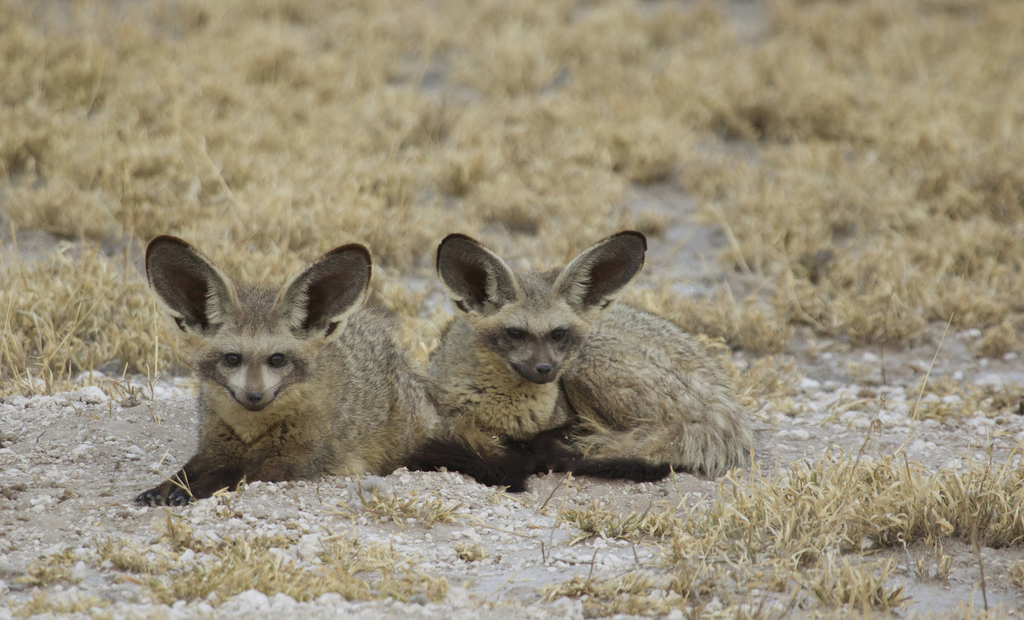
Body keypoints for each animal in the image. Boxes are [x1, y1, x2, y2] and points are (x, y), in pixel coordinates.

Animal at [135, 235, 438, 506]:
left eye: (277, 359)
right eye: (232, 359)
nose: (254, 396)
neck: (251, 429)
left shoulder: (298, 459)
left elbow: (233, 472)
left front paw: (191, 491)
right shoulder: (213, 448)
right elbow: (183, 472)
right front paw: (162, 488)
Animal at [406, 231, 754, 492]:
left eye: (559, 334)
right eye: (516, 334)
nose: (546, 370)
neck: (507, 410)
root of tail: (724, 403)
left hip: (584, 367)